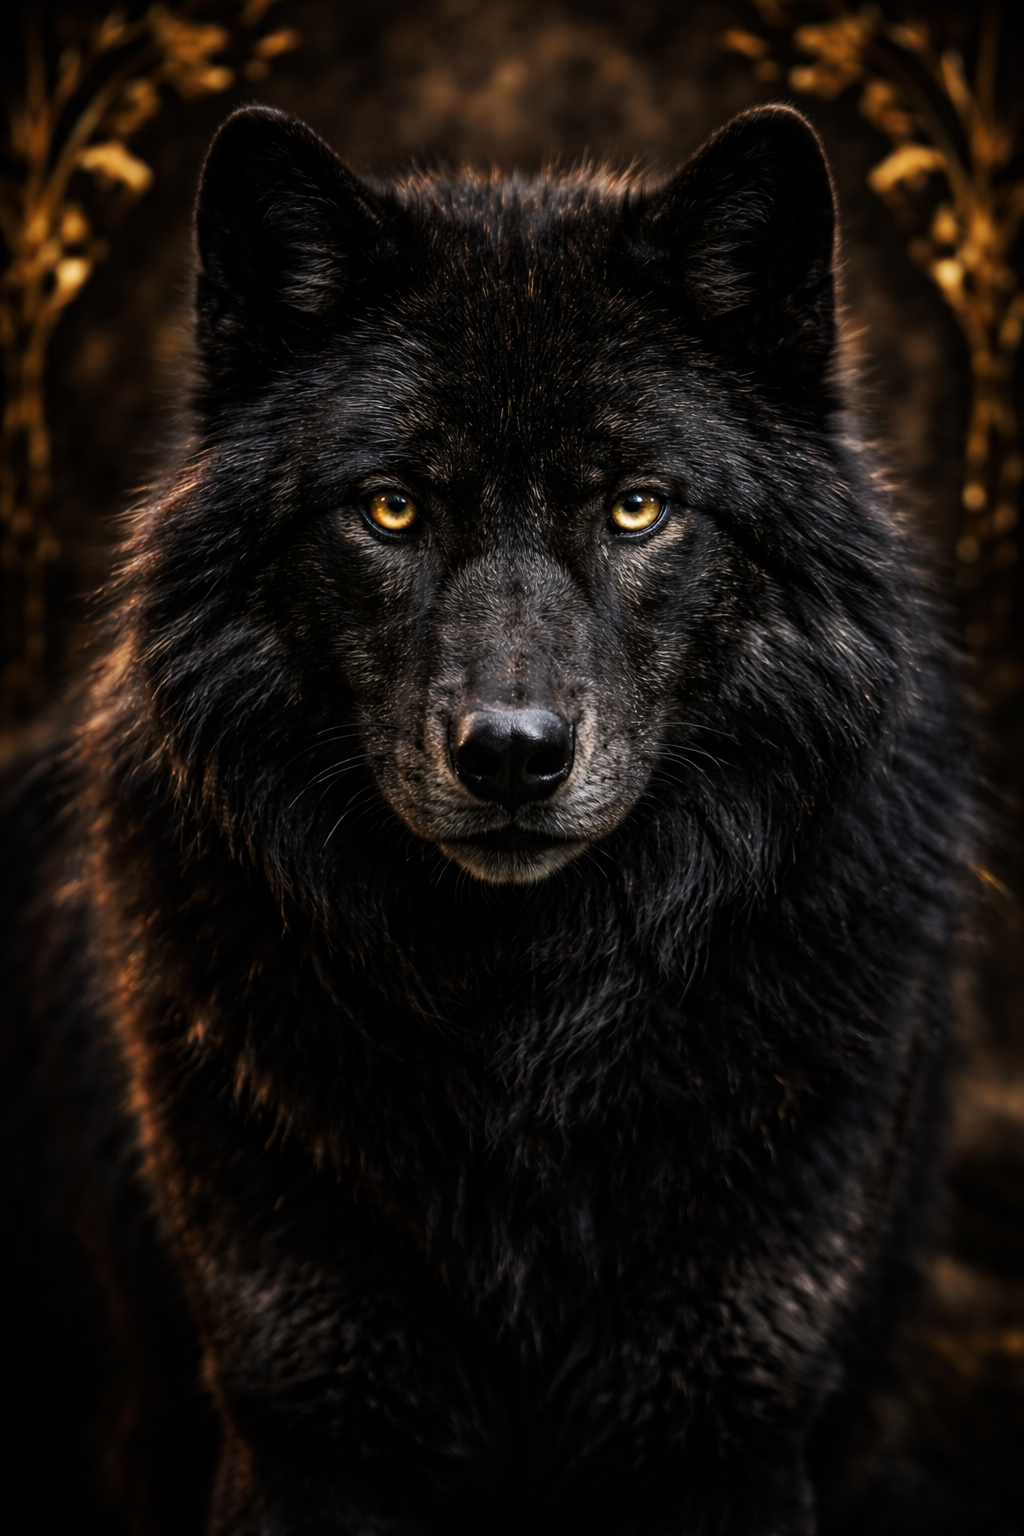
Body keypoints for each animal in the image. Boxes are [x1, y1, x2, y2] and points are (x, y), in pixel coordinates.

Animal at [1, 104, 971, 1534]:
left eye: (636, 503)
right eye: (393, 504)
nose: (512, 756)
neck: (525, 1049)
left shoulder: (727, 1428)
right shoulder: (309, 1425)